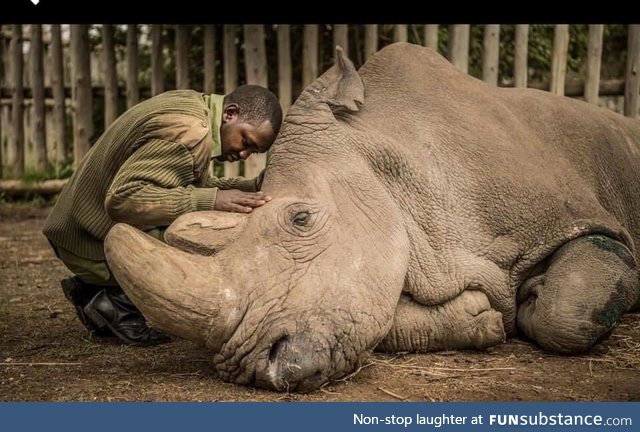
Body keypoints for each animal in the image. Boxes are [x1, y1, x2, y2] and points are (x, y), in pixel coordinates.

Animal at [104, 42, 640, 392]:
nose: (255, 367)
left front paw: (531, 299)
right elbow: (380, 317)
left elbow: (566, 311)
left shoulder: (580, 221)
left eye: (301, 219)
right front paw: (483, 318)